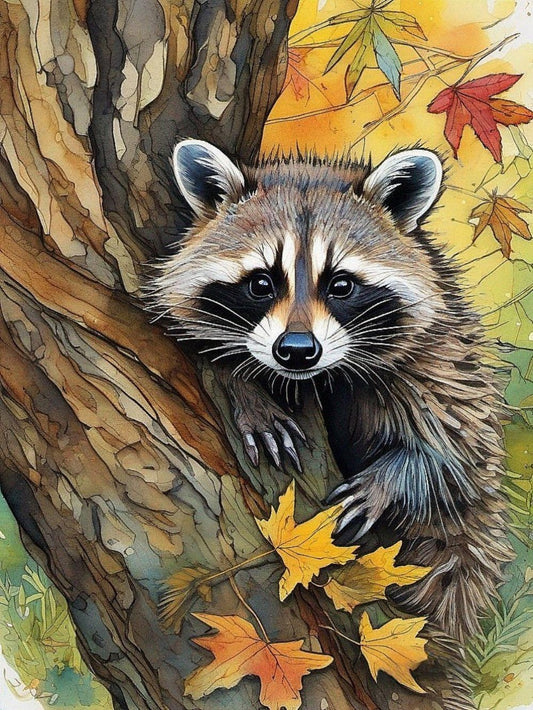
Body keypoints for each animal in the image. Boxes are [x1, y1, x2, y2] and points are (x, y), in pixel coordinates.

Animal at [149, 139, 511, 644]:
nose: (297, 351)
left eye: (341, 284)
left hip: (457, 550)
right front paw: (245, 390)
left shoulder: (441, 354)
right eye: (261, 283)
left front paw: (388, 480)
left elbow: (457, 454)